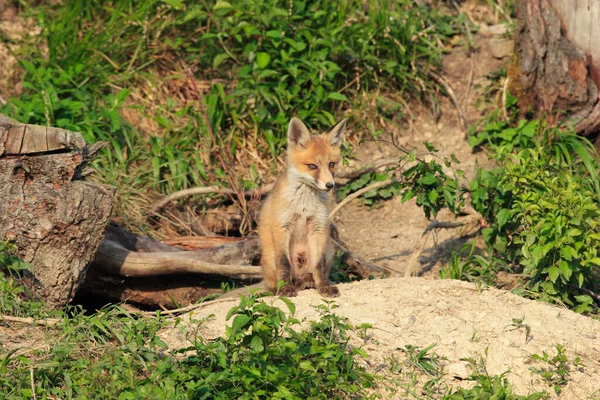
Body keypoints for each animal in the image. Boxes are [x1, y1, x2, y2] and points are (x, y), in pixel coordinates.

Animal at [258, 115, 346, 296]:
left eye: (331, 164)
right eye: (312, 166)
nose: (330, 185)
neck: (304, 204)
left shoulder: (318, 226)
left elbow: (318, 265)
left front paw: (323, 286)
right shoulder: (282, 226)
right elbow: (283, 264)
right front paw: (285, 288)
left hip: (329, 249)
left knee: (310, 273)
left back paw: (307, 281)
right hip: (269, 256)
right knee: (276, 281)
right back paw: (289, 285)